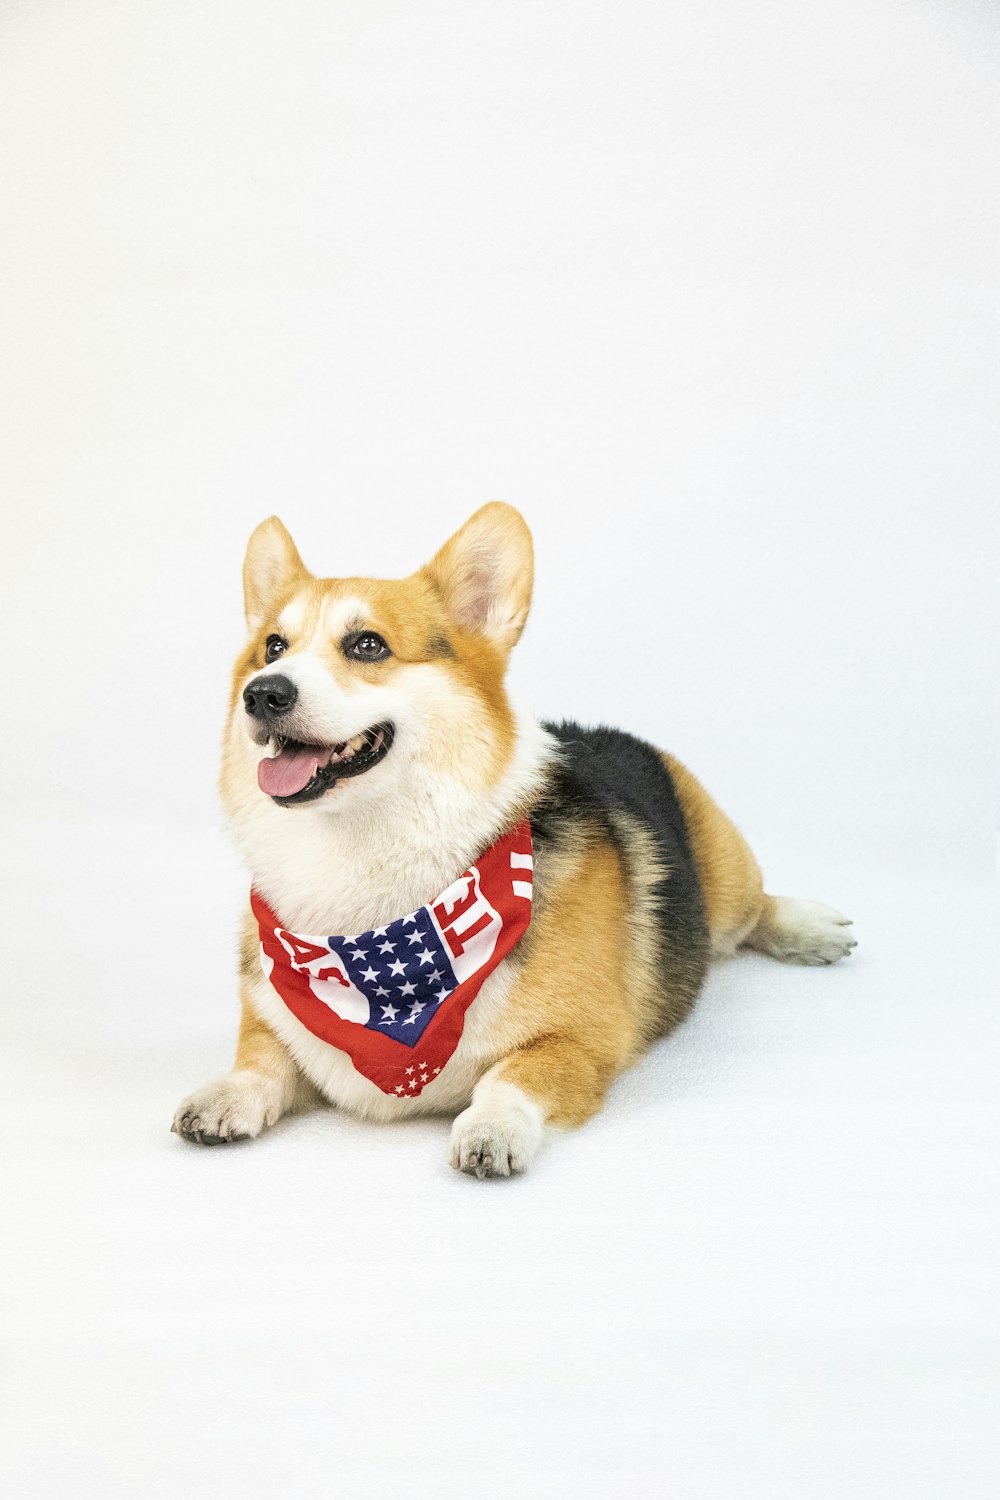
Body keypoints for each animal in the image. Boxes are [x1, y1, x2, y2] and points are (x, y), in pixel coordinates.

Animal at [170, 510, 851, 1176]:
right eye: (272, 648)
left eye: (368, 645)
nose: (263, 692)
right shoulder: (273, 1018)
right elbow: (260, 1061)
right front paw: (224, 1095)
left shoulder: (579, 1041)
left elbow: (510, 1077)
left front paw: (492, 1130)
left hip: (724, 875)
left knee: (755, 909)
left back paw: (812, 929)